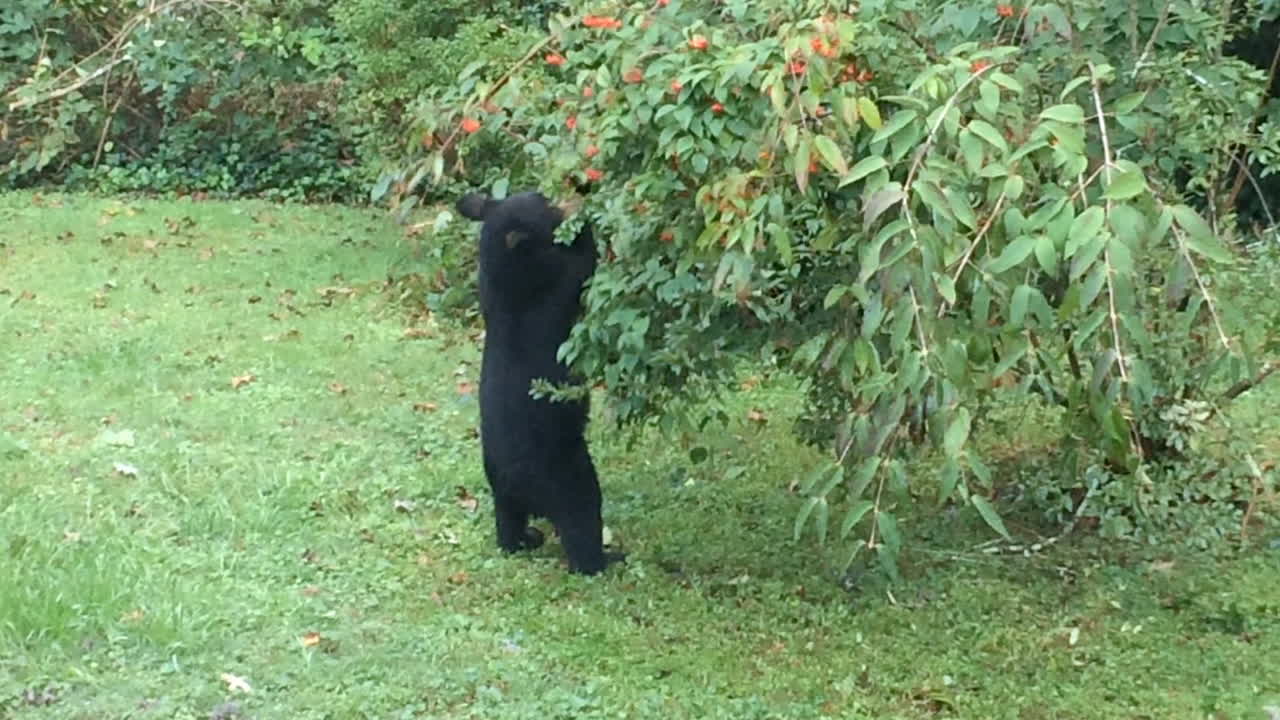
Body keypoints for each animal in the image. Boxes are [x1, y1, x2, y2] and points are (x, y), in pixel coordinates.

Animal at [456, 190, 621, 575]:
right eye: (543, 203)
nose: (553, 198)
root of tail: (517, 484)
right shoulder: (556, 278)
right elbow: (583, 261)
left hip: (502, 496)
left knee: (507, 526)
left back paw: (526, 538)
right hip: (569, 478)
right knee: (582, 520)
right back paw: (604, 560)